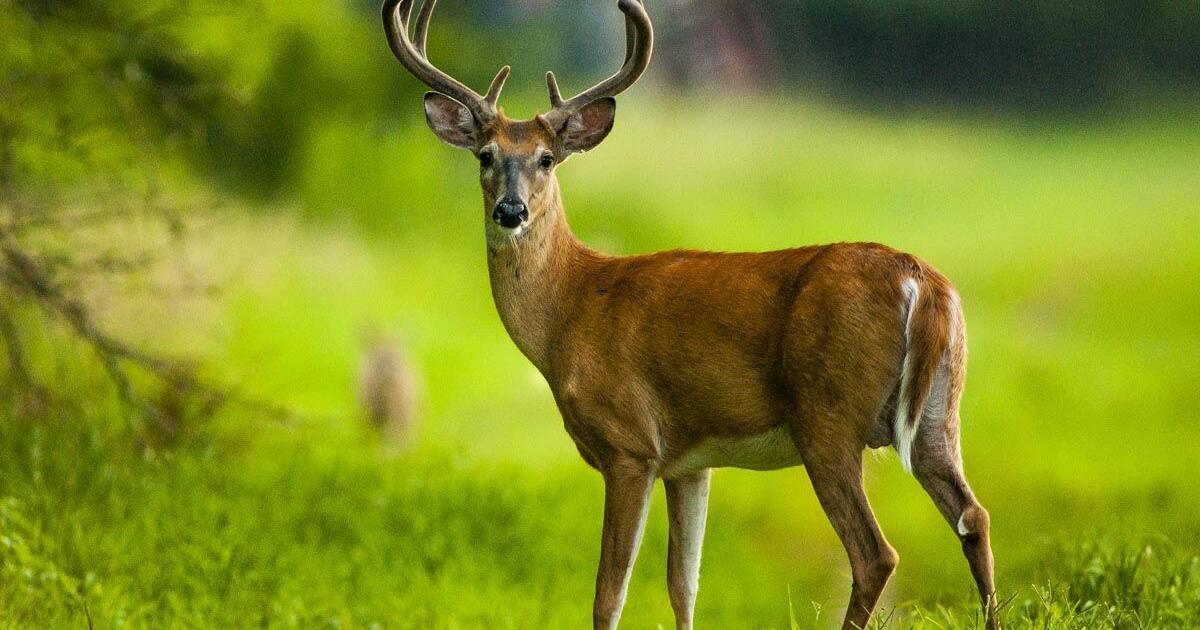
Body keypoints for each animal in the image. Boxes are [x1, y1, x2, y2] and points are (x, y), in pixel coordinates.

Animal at [381, 1, 999, 628]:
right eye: (485, 156)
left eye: (547, 159)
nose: (511, 211)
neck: (569, 309)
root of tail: (921, 280)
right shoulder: (690, 463)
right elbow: (685, 584)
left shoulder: (630, 444)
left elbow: (610, 592)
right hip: (939, 412)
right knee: (974, 517)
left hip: (828, 415)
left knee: (876, 553)